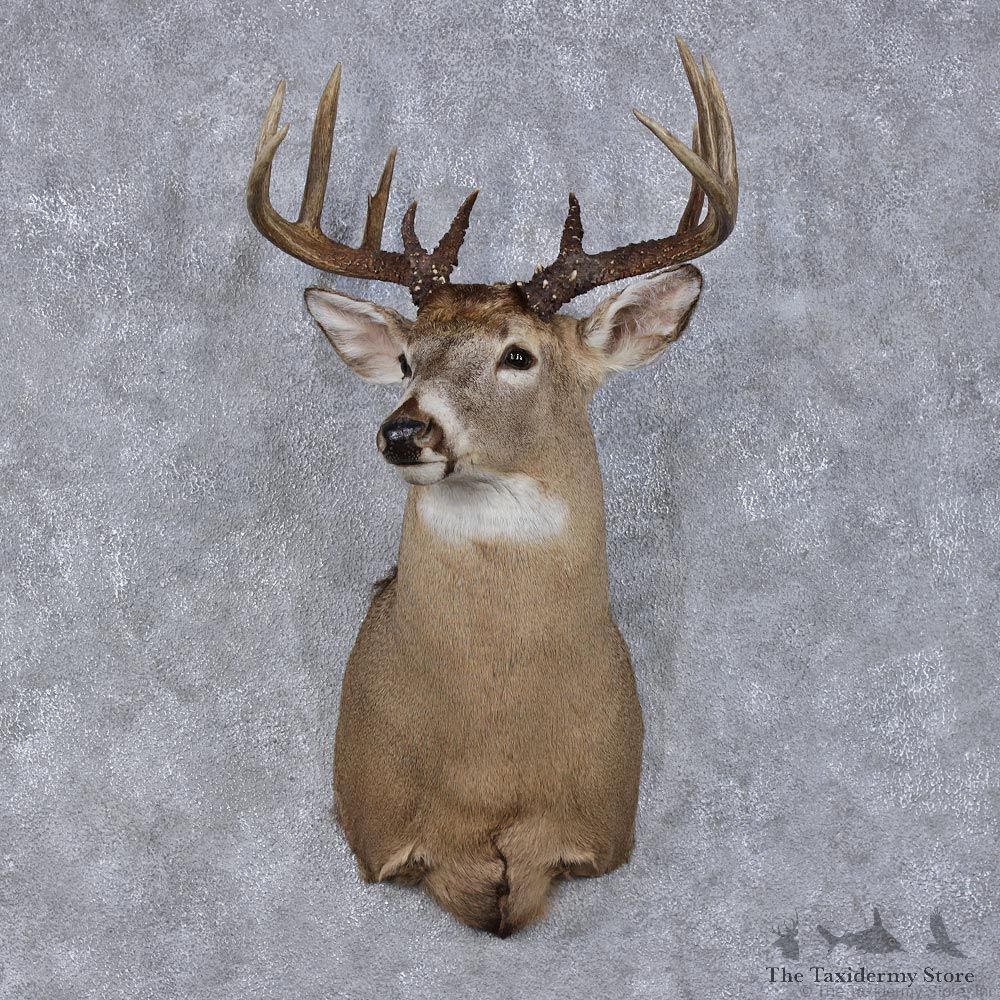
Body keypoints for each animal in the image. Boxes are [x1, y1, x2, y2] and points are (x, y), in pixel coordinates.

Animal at [246, 37, 738, 936]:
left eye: (519, 354)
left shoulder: (601, 828)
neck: (492, 765)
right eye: (408, 359)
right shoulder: (380, 828)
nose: (405, 431)